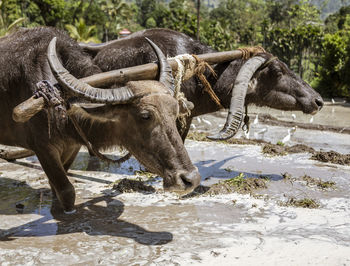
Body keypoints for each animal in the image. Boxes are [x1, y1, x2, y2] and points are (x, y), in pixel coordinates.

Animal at [0, 27, 200, 213]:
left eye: (174, 112)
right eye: (145, 116)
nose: (191, 179)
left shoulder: (72, 146)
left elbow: (56, 186)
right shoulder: (42, 148)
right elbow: (67, 191)